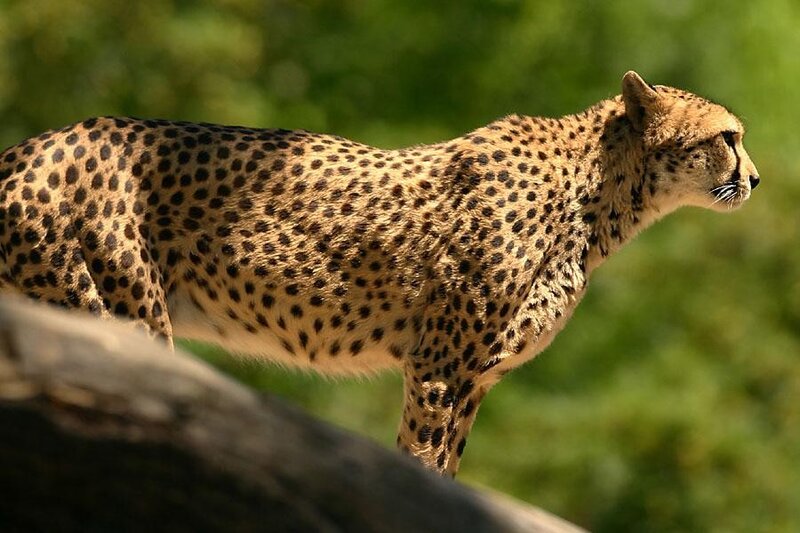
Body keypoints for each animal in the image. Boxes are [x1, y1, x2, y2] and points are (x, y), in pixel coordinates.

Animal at [0, 71, 759, 476]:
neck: (601, 193)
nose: (755, 178)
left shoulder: (473, 377)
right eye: (728, 137)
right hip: (114, 312)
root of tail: (34, 144)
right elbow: (421, 461)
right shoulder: (439, 366)